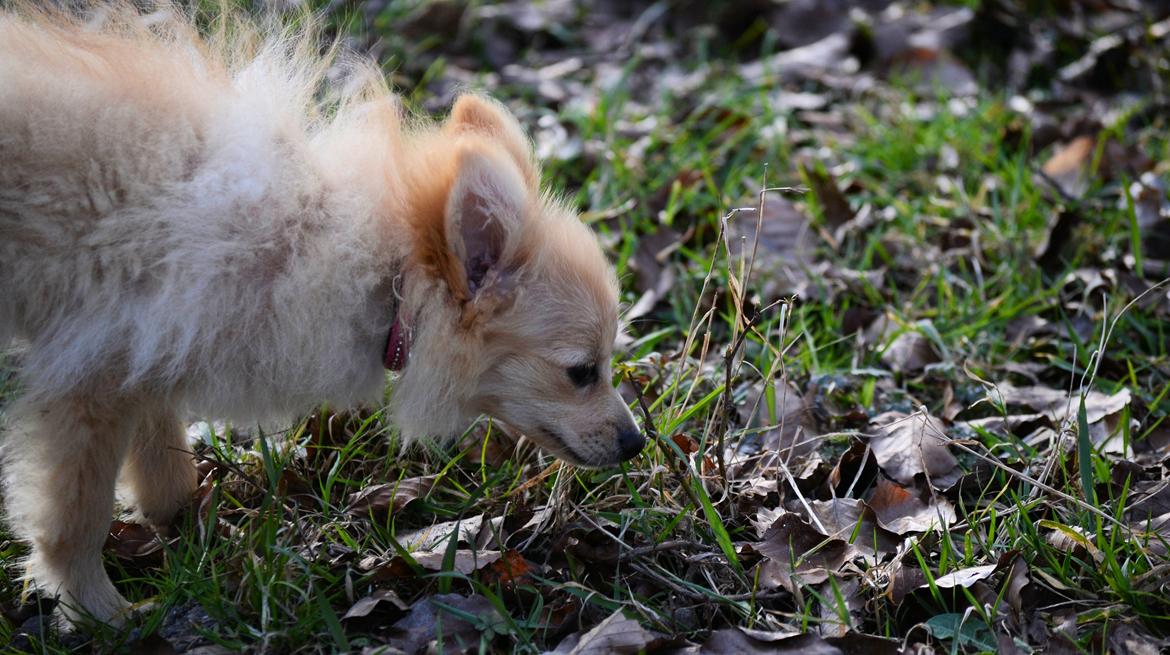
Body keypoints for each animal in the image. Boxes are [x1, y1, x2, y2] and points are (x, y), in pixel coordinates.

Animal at [0, 3, 645, 622]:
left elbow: (161, 444)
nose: (637, 442)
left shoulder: (150, 337)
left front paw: (181, 521)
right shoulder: (91, 374)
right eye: (581, 372)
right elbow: (75, 516)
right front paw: (98, 612)